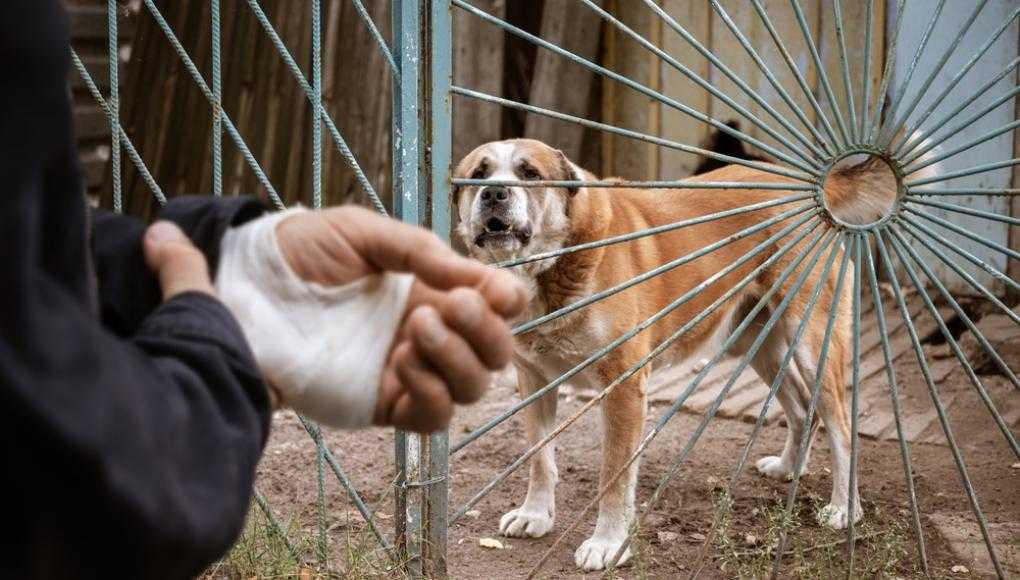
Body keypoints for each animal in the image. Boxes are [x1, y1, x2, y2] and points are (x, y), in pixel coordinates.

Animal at [454, 137, 901, 570]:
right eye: (479, 174)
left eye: (530, 173)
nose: (493, 193)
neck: (552, 267)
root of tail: (809, 188)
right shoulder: (533, 380)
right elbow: (539, 458)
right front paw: (535, 514)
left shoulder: (623, 387)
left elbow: (614, 477)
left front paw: (608, 544)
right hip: (759, 344)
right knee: (802, 408)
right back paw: (789, 467)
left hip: (812, 342)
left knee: (841, 426)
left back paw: (844, 508)